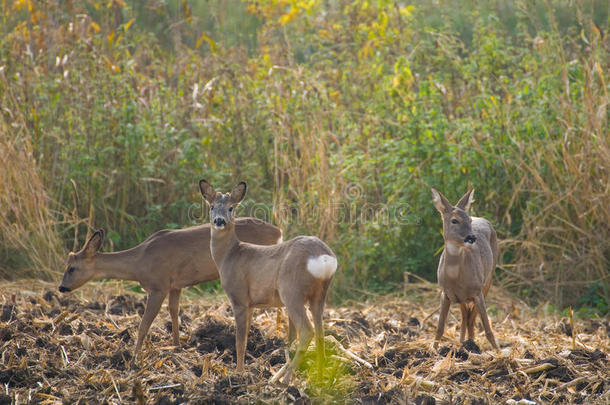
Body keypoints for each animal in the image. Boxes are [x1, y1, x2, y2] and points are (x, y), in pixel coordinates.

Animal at [58, 218, 282, 360]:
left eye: (72, 268)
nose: (61, 287)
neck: (139, 263)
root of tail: (278, 232)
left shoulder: (159, 285)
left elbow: (144, 324)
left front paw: (134, 357)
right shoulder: (176, 285)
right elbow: (174, 312)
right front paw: (176, 344)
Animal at [198, 181, 338, 382]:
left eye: (231, 208)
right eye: (212, 206)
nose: (219, 221)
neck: (229, 255)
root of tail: (324, 257)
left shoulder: (239, 298)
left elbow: (240, 341)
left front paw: (238, 373)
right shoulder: (250, 304)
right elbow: (246, 337)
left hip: (291, 291)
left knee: (307, 331)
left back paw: (283, 380)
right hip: (319, 294)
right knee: (320, 333)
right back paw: (317, 378)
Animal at [430, 188, 496, 348]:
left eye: (469, 220)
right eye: (454, 220)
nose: (471, 237)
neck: (455, 277)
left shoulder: (477, 291)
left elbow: (487, 329)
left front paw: (497, 350)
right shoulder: (445, 293)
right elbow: (439, 329)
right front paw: (432, 350)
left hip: (488, 279)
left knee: (471, 319)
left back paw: (470, 343)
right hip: (462, 298)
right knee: (466, 318)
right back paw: (464, 342)